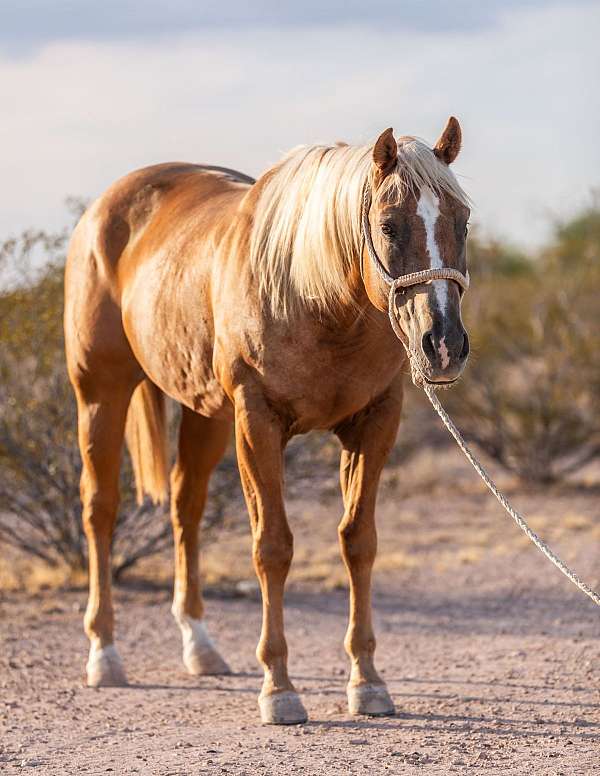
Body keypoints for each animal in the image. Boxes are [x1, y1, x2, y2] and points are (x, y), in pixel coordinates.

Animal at [64, 116, 468, 728]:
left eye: (462, 220)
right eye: (389, 226)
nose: (442, 345)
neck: (314, 296)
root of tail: (102, 211)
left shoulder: (375, 423)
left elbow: (359, 542)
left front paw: (367, 681)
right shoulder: (258, 424)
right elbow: (272, 547)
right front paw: (279, 688)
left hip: (204, 414)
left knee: (186, 508)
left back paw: (201, 647)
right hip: (100, 396)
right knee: (99, 510)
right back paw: (104, 655)